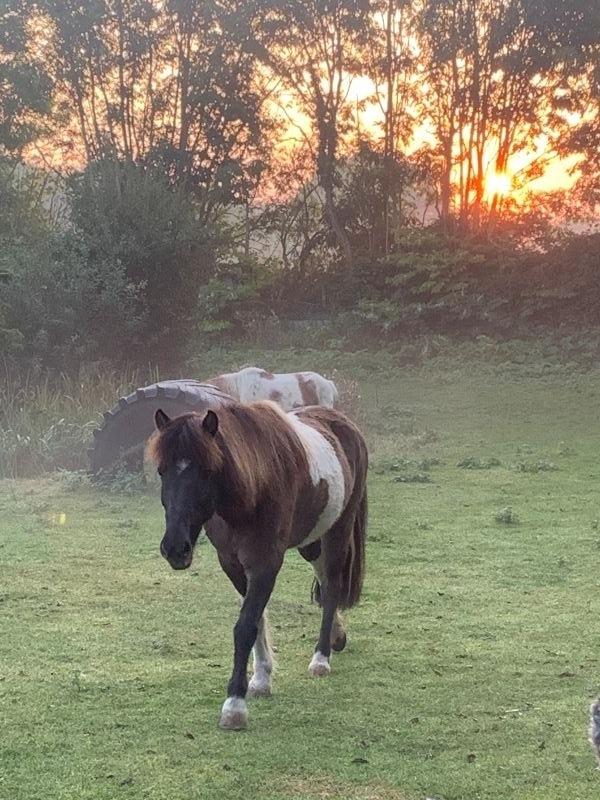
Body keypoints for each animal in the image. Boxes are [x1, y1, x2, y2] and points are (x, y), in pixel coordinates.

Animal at [146, 399, 367, 730]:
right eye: (162, 471)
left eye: (207, 471)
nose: (175, 548)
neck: (253, 487)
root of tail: (344, 423)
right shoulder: (233, 565)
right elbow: (257, 617)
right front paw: (261, 678)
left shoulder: (266, 563)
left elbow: (246, 625)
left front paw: (234, 705)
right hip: (311, 539)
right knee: (324, 579)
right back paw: (336, 636)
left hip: (337, 531)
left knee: (331, 587)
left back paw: (321, 657)